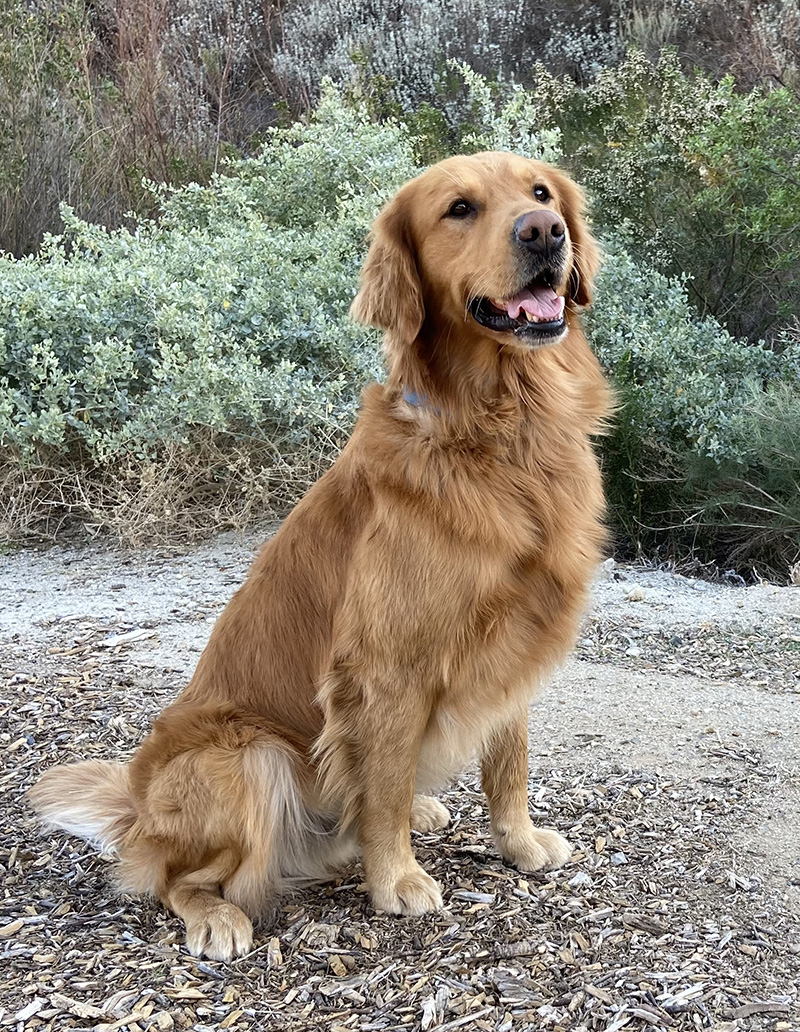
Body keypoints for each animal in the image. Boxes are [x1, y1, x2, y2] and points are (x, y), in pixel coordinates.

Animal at [30, 152, 612, 961]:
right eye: (459, 208)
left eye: (541, 193)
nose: (544, 232)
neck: (503, 431)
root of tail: (139, 808)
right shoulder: (387, 668)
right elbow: (386, 786)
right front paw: (396, 879)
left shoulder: (511, 645)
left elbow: (508, 762)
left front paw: (519, 843)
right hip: (252, 758)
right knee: (169, 876)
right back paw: (217, 916)